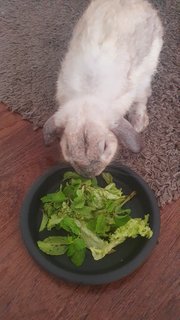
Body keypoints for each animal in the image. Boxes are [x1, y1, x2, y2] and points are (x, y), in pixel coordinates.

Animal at [43, 0, 163, 178]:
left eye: (105, 147)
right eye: (67, 148)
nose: (88, 174)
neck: (88, 96)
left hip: (149, 66)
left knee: (143, 95)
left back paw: (138, 122)